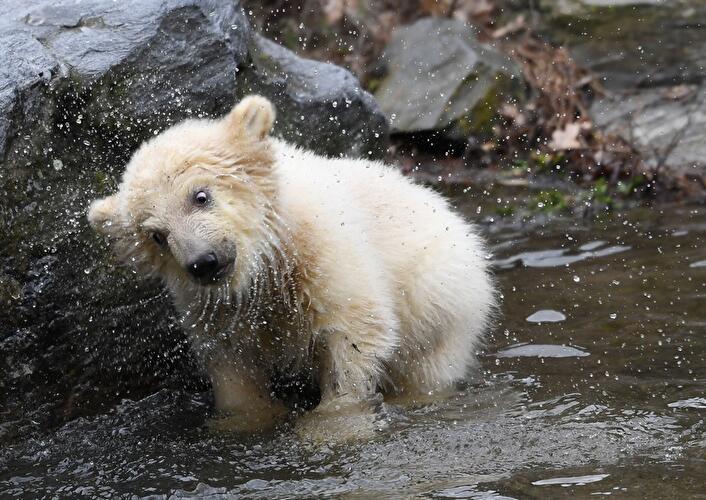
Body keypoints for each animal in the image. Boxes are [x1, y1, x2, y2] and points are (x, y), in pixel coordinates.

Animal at [88, 95, 496, 435]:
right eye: (157, 235)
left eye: (200, 196)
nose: (202, 262)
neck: (269, 257)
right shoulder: (215, 305)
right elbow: (230, 361)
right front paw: (246, 419)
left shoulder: (324, 254)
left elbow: (355, 332)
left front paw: (332, 423)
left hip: (437, 303)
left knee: (424, 368)